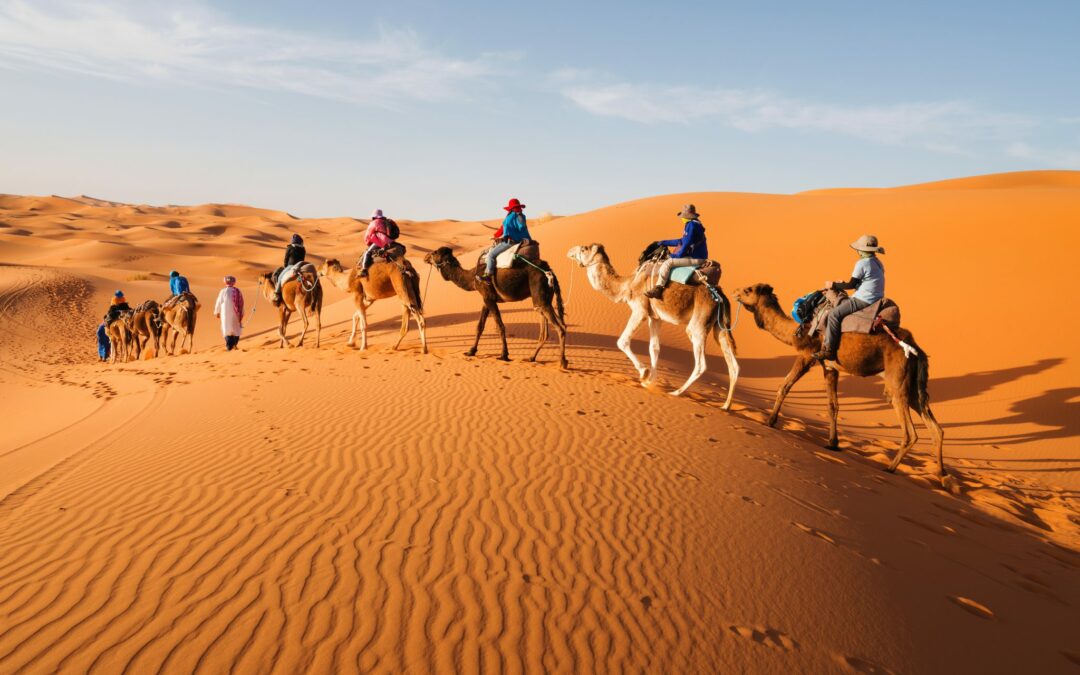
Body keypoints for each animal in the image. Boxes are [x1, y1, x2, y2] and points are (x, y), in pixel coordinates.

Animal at [425, 245, 570, 365]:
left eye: (434, 252)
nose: (425, 257)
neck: (472, 277)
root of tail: (550, 271)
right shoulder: (486, 298)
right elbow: (480, 326)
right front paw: (471, 351)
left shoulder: (488, 297)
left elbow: (500, 326)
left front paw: (504, 355)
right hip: (544, 299)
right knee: (547, 329)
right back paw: (531, 358)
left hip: (539, 295)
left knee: (560, 327)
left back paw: (562, 362)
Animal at [565, 246, 734, 406]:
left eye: (584, 249)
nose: (569, 251)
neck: (628, 284)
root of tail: (720, 297)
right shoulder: (655, 317)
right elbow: (654, 348)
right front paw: (650, 382)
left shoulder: (640, 311)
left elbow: (622, 341)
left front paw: (644, 373)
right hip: (719, 327)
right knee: (733, 364)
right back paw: (726, 405)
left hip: (698, 324)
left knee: (701, 364)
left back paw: (676, 392)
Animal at [734, 285, 946, 483]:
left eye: (748, 290)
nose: (735, 292)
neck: (796, 331)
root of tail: (916, 348)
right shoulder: (830, 367)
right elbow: (832, 405)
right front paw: (833, 443)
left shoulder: (807, 355)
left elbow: (784, 386)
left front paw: (770, 421)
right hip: (913, 385)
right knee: (935, 428)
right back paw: (942, 476)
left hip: (897, 380)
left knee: (910, 431)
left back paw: (890, 468)